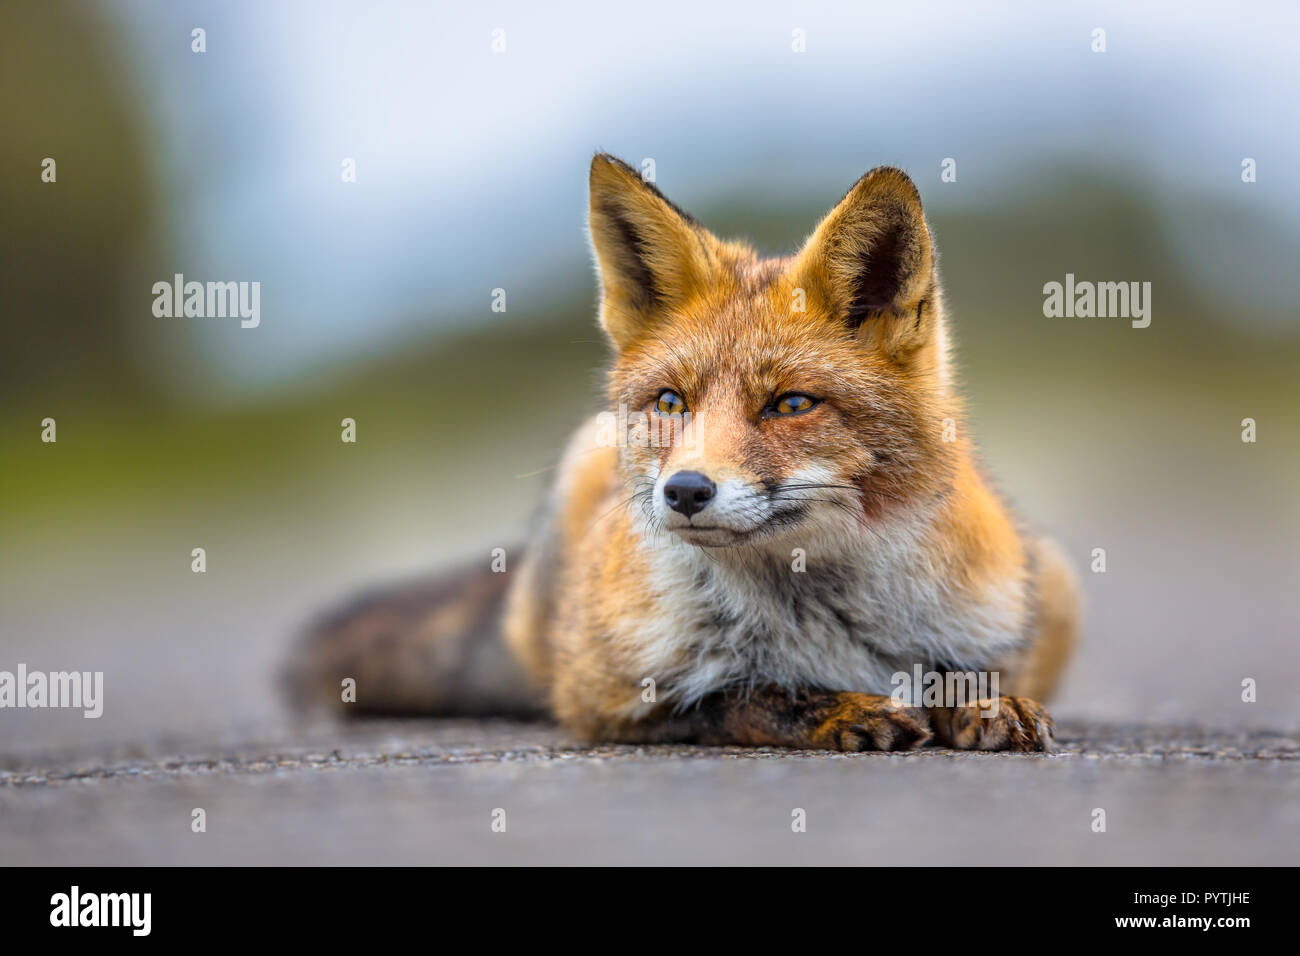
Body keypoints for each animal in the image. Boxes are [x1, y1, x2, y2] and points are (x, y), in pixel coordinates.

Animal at [289, 157, 1081, 749]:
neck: (814, 610)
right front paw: (839, 707)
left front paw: (982, 703)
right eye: (672, 403)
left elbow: (967, 671)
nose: (686, 492)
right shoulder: (603, 696)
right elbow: (749, 696)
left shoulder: (1020, 614)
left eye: (791, 404)